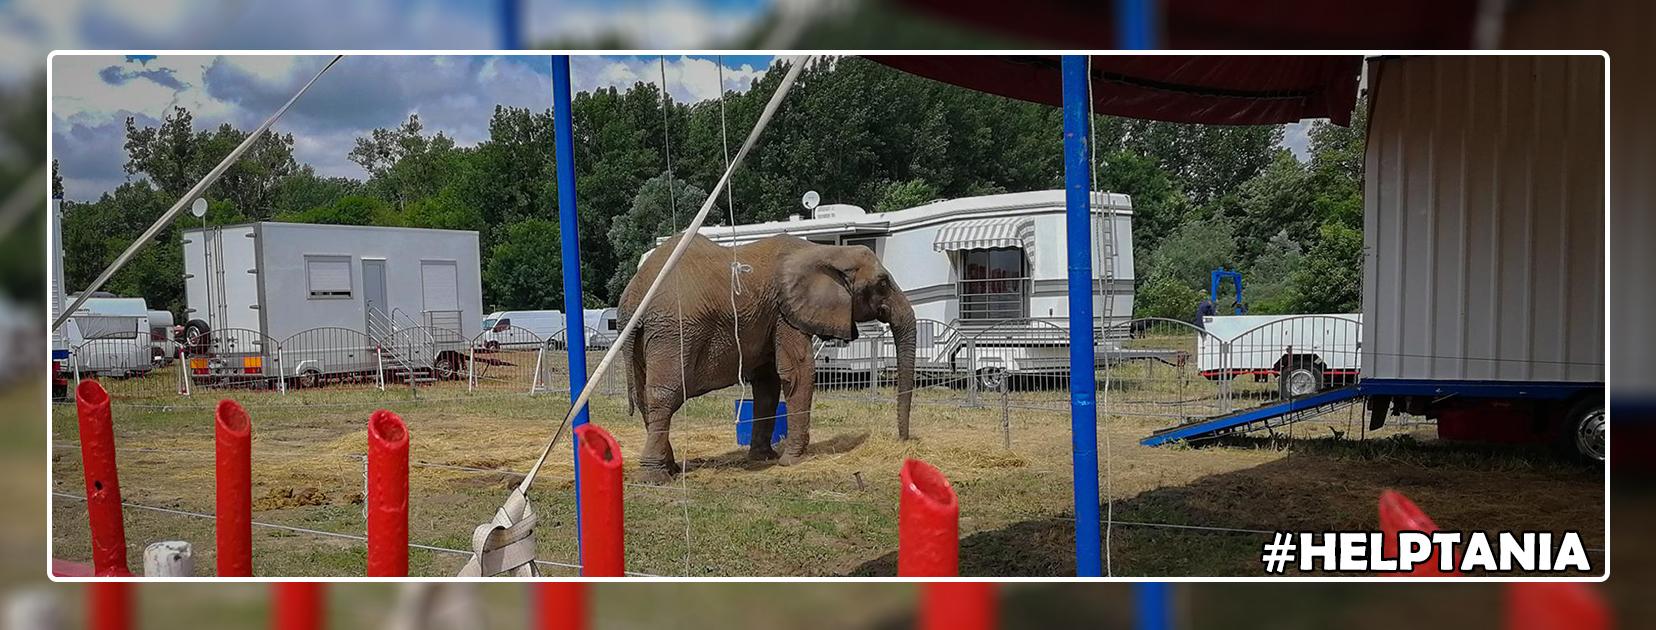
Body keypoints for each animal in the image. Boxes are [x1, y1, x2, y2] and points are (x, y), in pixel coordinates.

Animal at [619, 232, 920, 480]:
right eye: (882, 284)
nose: (905, 441)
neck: (823, 251)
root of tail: (633, 297)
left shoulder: (770, 317)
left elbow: (767, 383)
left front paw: (764, 458)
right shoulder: (787, 313)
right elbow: (798, 372)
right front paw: (792, 461)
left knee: (646, 397)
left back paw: (671, 468)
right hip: (674, 332)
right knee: (664, 395)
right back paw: (656, 476)